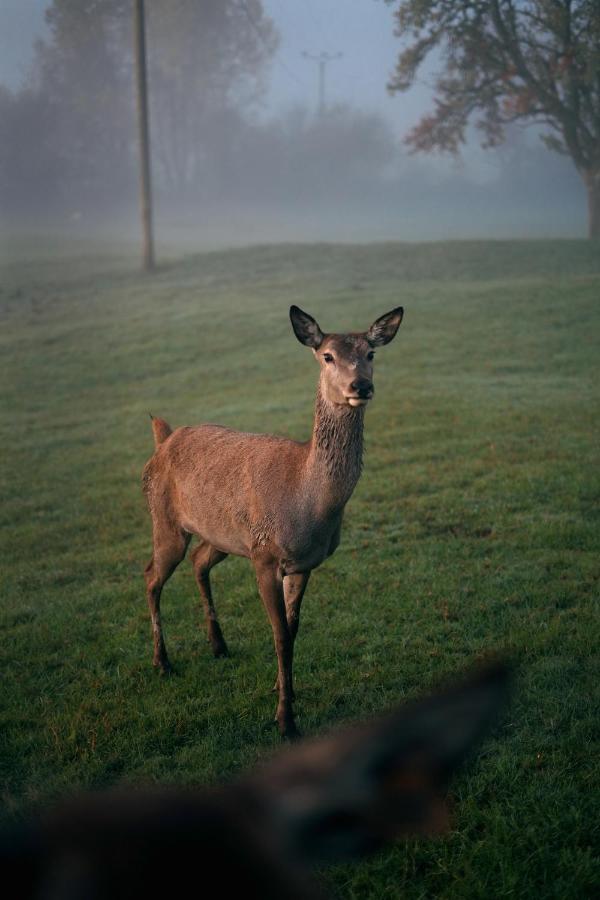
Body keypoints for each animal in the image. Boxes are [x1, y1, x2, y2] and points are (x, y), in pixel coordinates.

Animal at [141, 302, 404, 740]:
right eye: (327, 356)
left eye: (371, 352)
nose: (361, 386)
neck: (308, 504)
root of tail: (163, 438)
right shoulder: (265, 556)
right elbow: (280, 635)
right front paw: (285, 719)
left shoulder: (303, 562)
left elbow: (294, 630)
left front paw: (283, 689)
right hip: (164, 520)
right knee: (150, 576)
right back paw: (162, 663)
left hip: (223, 536)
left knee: (198, 561)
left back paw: (218, 646)